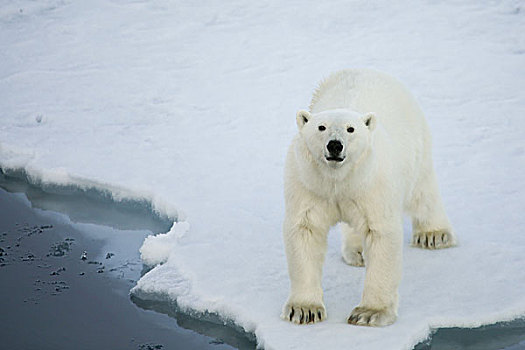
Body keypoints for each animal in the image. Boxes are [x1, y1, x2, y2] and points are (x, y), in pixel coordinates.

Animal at [280, 68, 456, 326]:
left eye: (351, 129)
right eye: (321, 127)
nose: (335, 145)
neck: (338, 179)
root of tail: (364, 69)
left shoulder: (373, 183)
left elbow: (380, 233)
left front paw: (369, 312)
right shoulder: (309, 184)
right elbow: (306, 230)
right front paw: (304, 309)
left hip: (415, 142)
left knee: (422, 191)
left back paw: (434, 235)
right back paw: (356, 252)